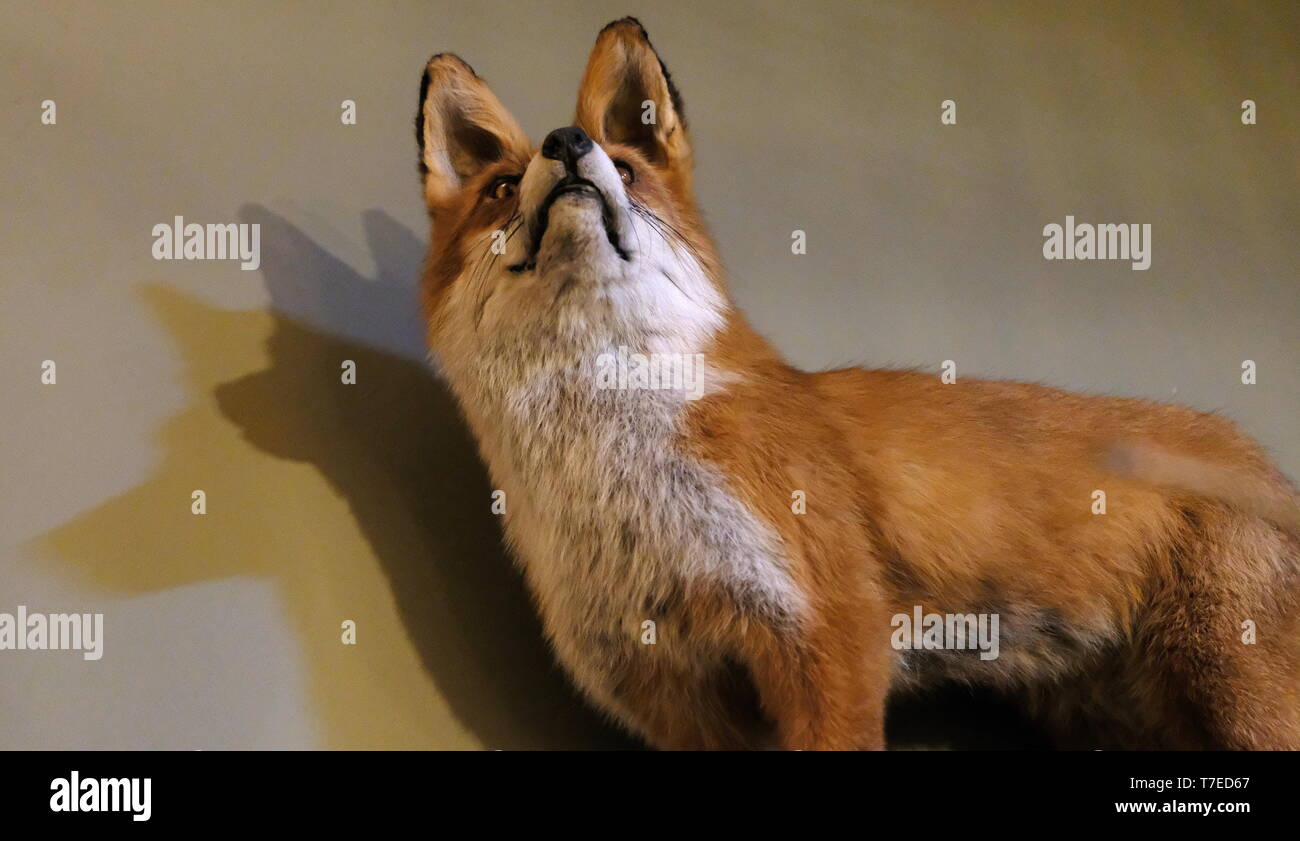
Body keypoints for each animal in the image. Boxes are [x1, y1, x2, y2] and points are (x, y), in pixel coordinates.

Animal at [418, 16, 1300, 748]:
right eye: (502, 187)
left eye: (629, 171)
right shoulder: (669, 691)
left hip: (1234, 690)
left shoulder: (829, 630)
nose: (568, 142)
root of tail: (1261, 460)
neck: (612, 479)